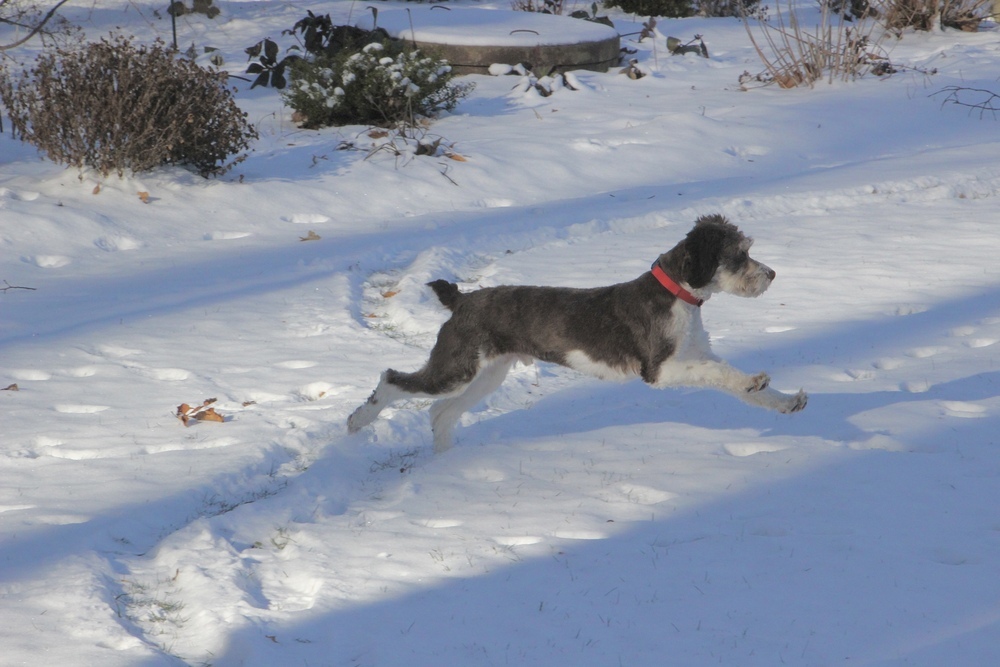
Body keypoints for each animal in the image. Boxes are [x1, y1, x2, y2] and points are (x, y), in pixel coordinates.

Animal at [348, 217, 808, 452]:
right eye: (740, 255)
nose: (771, 274)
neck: (677, 295)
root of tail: (461, 300)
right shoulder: (660, 369)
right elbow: (722, 375)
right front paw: (755, 381)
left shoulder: (695, 355)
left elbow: (737, 384)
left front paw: (785, 401)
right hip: (456, 368)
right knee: (392, 381)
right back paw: (357, 421)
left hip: (488, 374)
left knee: (440, 413)